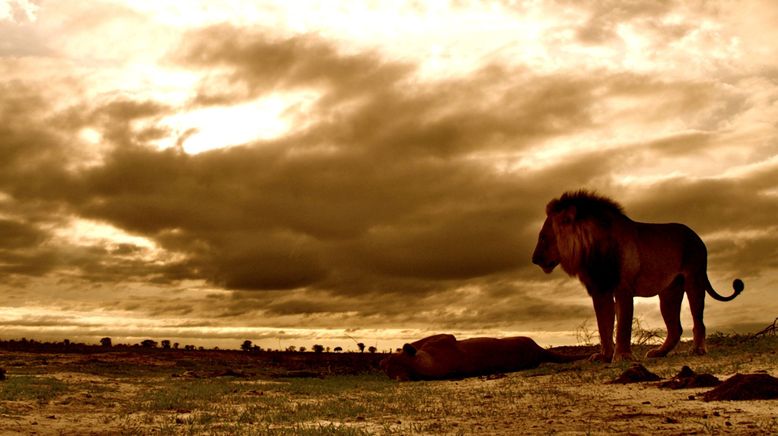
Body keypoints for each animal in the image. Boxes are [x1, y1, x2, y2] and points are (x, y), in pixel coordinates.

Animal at [532, 189, 744, 362]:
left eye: (543, 237)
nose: (534, 259)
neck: (591, 250)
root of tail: (698, 237)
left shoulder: (623, 288)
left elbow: (623, 325)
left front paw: (622, 356)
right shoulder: (600, 290)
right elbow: (604, 325)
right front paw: (604, 356)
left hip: (694, 280)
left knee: (698, 320)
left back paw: (697, 350)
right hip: (669, 293)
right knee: (675, 328)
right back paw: (658, 353)